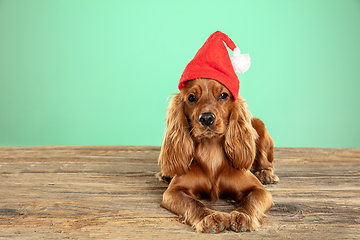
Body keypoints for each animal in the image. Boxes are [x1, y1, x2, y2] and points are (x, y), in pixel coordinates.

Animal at [158, 78, 278, 232]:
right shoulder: (173, 192)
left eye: (223, 95)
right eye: (191, 98)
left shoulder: (259, 190)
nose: (207, 118)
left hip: (259, 124)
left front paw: (242, 216)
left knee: (266, 162)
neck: (211, 151)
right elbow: (192, 203)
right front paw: (210, 218)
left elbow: (250, 200)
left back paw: (265, 174)